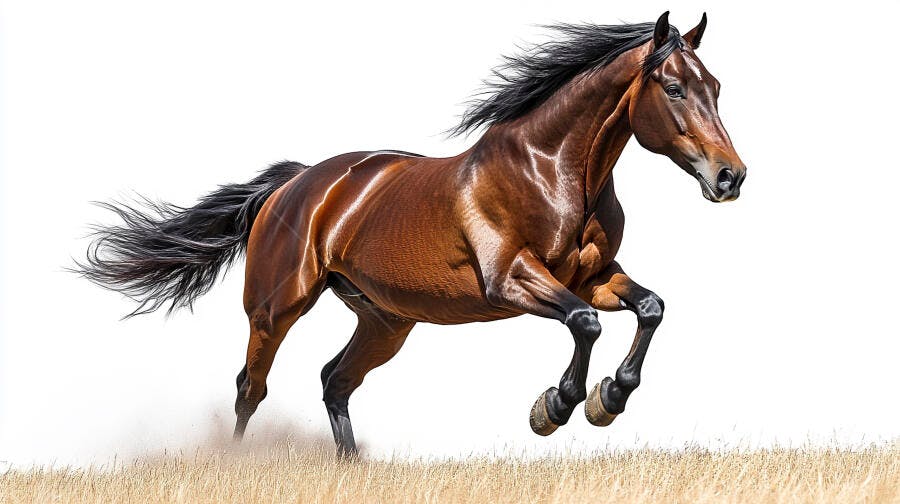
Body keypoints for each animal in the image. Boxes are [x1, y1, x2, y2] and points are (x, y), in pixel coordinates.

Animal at [77, 12, 746, 456]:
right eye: (674, 88)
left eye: (716, 87)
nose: (730, 176)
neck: (551, 168)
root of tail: (294, 185)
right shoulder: (512, 279)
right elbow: (585, 324)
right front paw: (555, 407)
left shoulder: (594, 277)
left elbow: (649, 308)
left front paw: (610, 398)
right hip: (275, 308)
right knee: (251, 386)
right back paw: (237, 463)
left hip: (386, 321)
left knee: (334, 379)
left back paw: (351, 467)